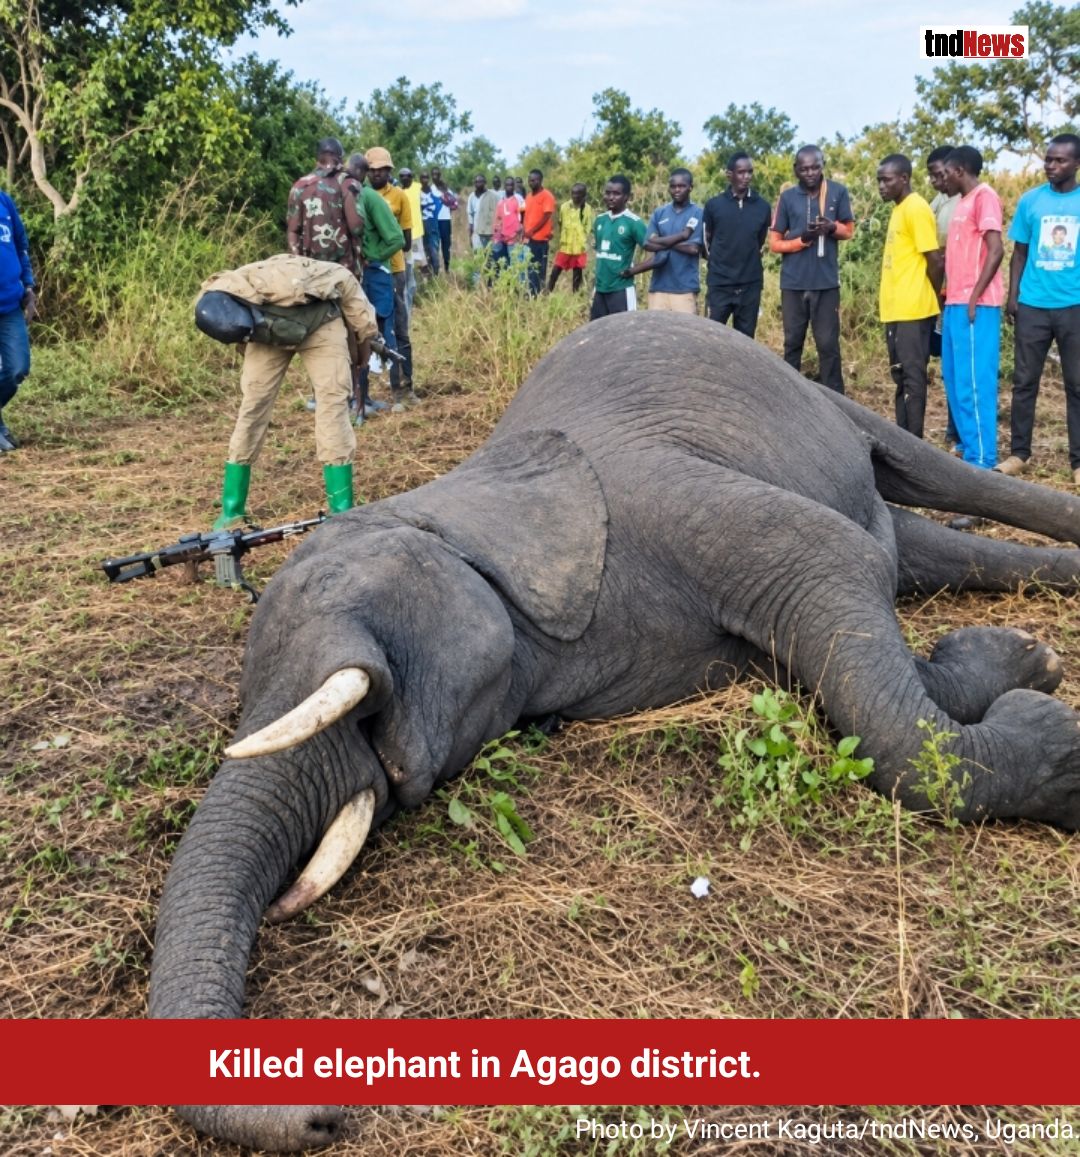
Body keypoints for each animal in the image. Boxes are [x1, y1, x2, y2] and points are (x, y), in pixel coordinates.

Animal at [149, 312, 1080, 1150]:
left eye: (367, 693)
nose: (328, 1116)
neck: (465, 505)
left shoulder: (678, 503)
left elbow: (844, 586)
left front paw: (1053, 728)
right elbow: (837, 642)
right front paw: (1021, 661)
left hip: (815, 393)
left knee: (932, 478)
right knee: (919, 544)